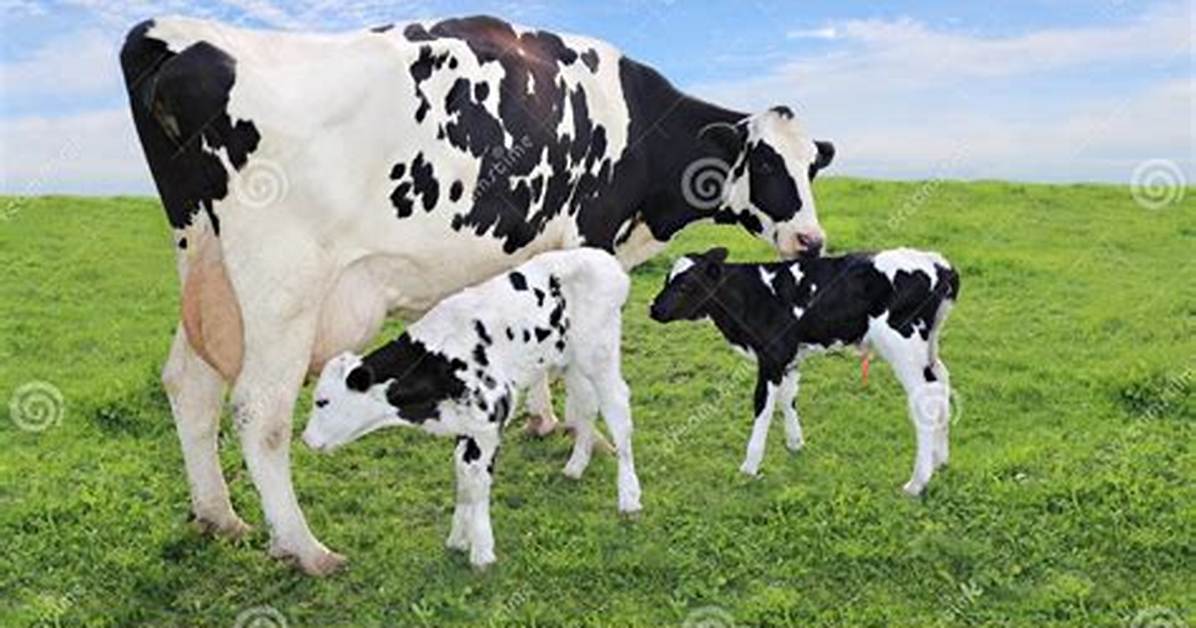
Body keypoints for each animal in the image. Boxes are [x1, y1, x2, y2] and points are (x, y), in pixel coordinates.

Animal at [302, 248, 638, 568]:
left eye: (322, 401)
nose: (305, 440)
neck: (439, 360)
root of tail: (604, 260)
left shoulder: (489, 424)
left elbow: (478, 483)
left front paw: (482, 553)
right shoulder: (465, 427)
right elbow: (463, 477)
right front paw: (458, 539)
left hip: (600, 355)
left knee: (618, 411)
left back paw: (629, 498)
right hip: (572, 363)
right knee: (585, 406)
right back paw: (575, 467)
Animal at [649, 247, 959, 494]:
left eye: (685, 285)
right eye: (667, 280)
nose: (653, 309)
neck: (752, 296)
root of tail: (938, 263)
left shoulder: (771, 356)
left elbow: (763, 406)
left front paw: (750, 466)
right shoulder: (789, 357)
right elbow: (788, 397)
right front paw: (795, 443)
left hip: (904, 345)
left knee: (924, 400)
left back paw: (917, 482)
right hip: (929, 348)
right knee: (942, 385)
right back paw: (941, 460)